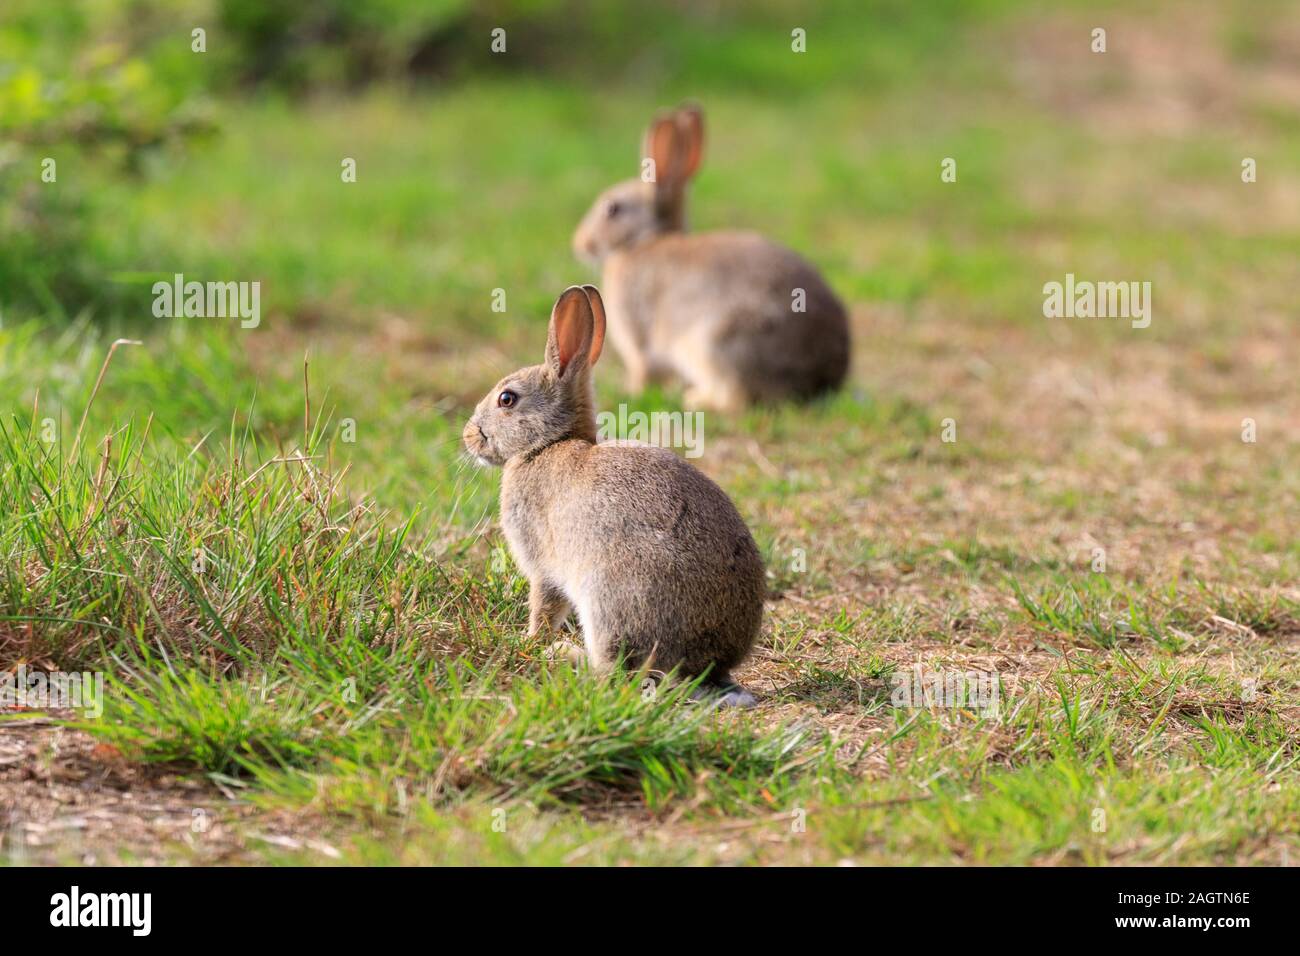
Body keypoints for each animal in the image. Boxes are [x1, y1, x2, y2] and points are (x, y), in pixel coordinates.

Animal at [462, 283, 759, 712]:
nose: (469, 437)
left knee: (614, 673)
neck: (548, 444)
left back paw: (566, 657)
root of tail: (705, 663)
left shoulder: (543, 566)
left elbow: (543, 606)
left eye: (507, 399)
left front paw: (530, 641)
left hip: (611, 597)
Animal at [574, 104, 847, 411]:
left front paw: (630, 392)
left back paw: (695, 399)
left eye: (612, 209)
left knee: (736, 398)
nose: (579, 243)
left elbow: (642, 370)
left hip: (715, 344)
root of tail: (820, 380)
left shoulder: (637, 339)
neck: (643, 240)